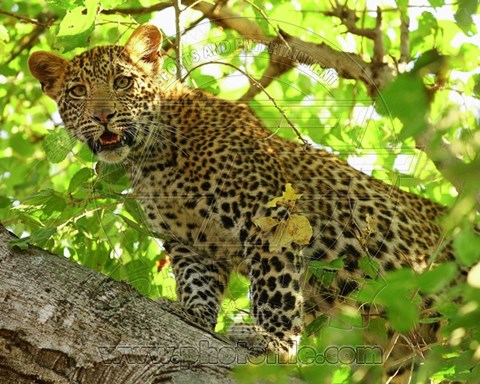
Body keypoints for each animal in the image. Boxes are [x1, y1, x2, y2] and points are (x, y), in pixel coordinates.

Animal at [29, 23, 458, 380]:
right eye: (78, 92)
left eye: (122, 82)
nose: (103, 116)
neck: (154, 159)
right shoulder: (190, 243)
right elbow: (196, 283)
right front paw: (192, 314)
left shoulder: (270, 216)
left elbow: (274, 288)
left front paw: (274, 342)